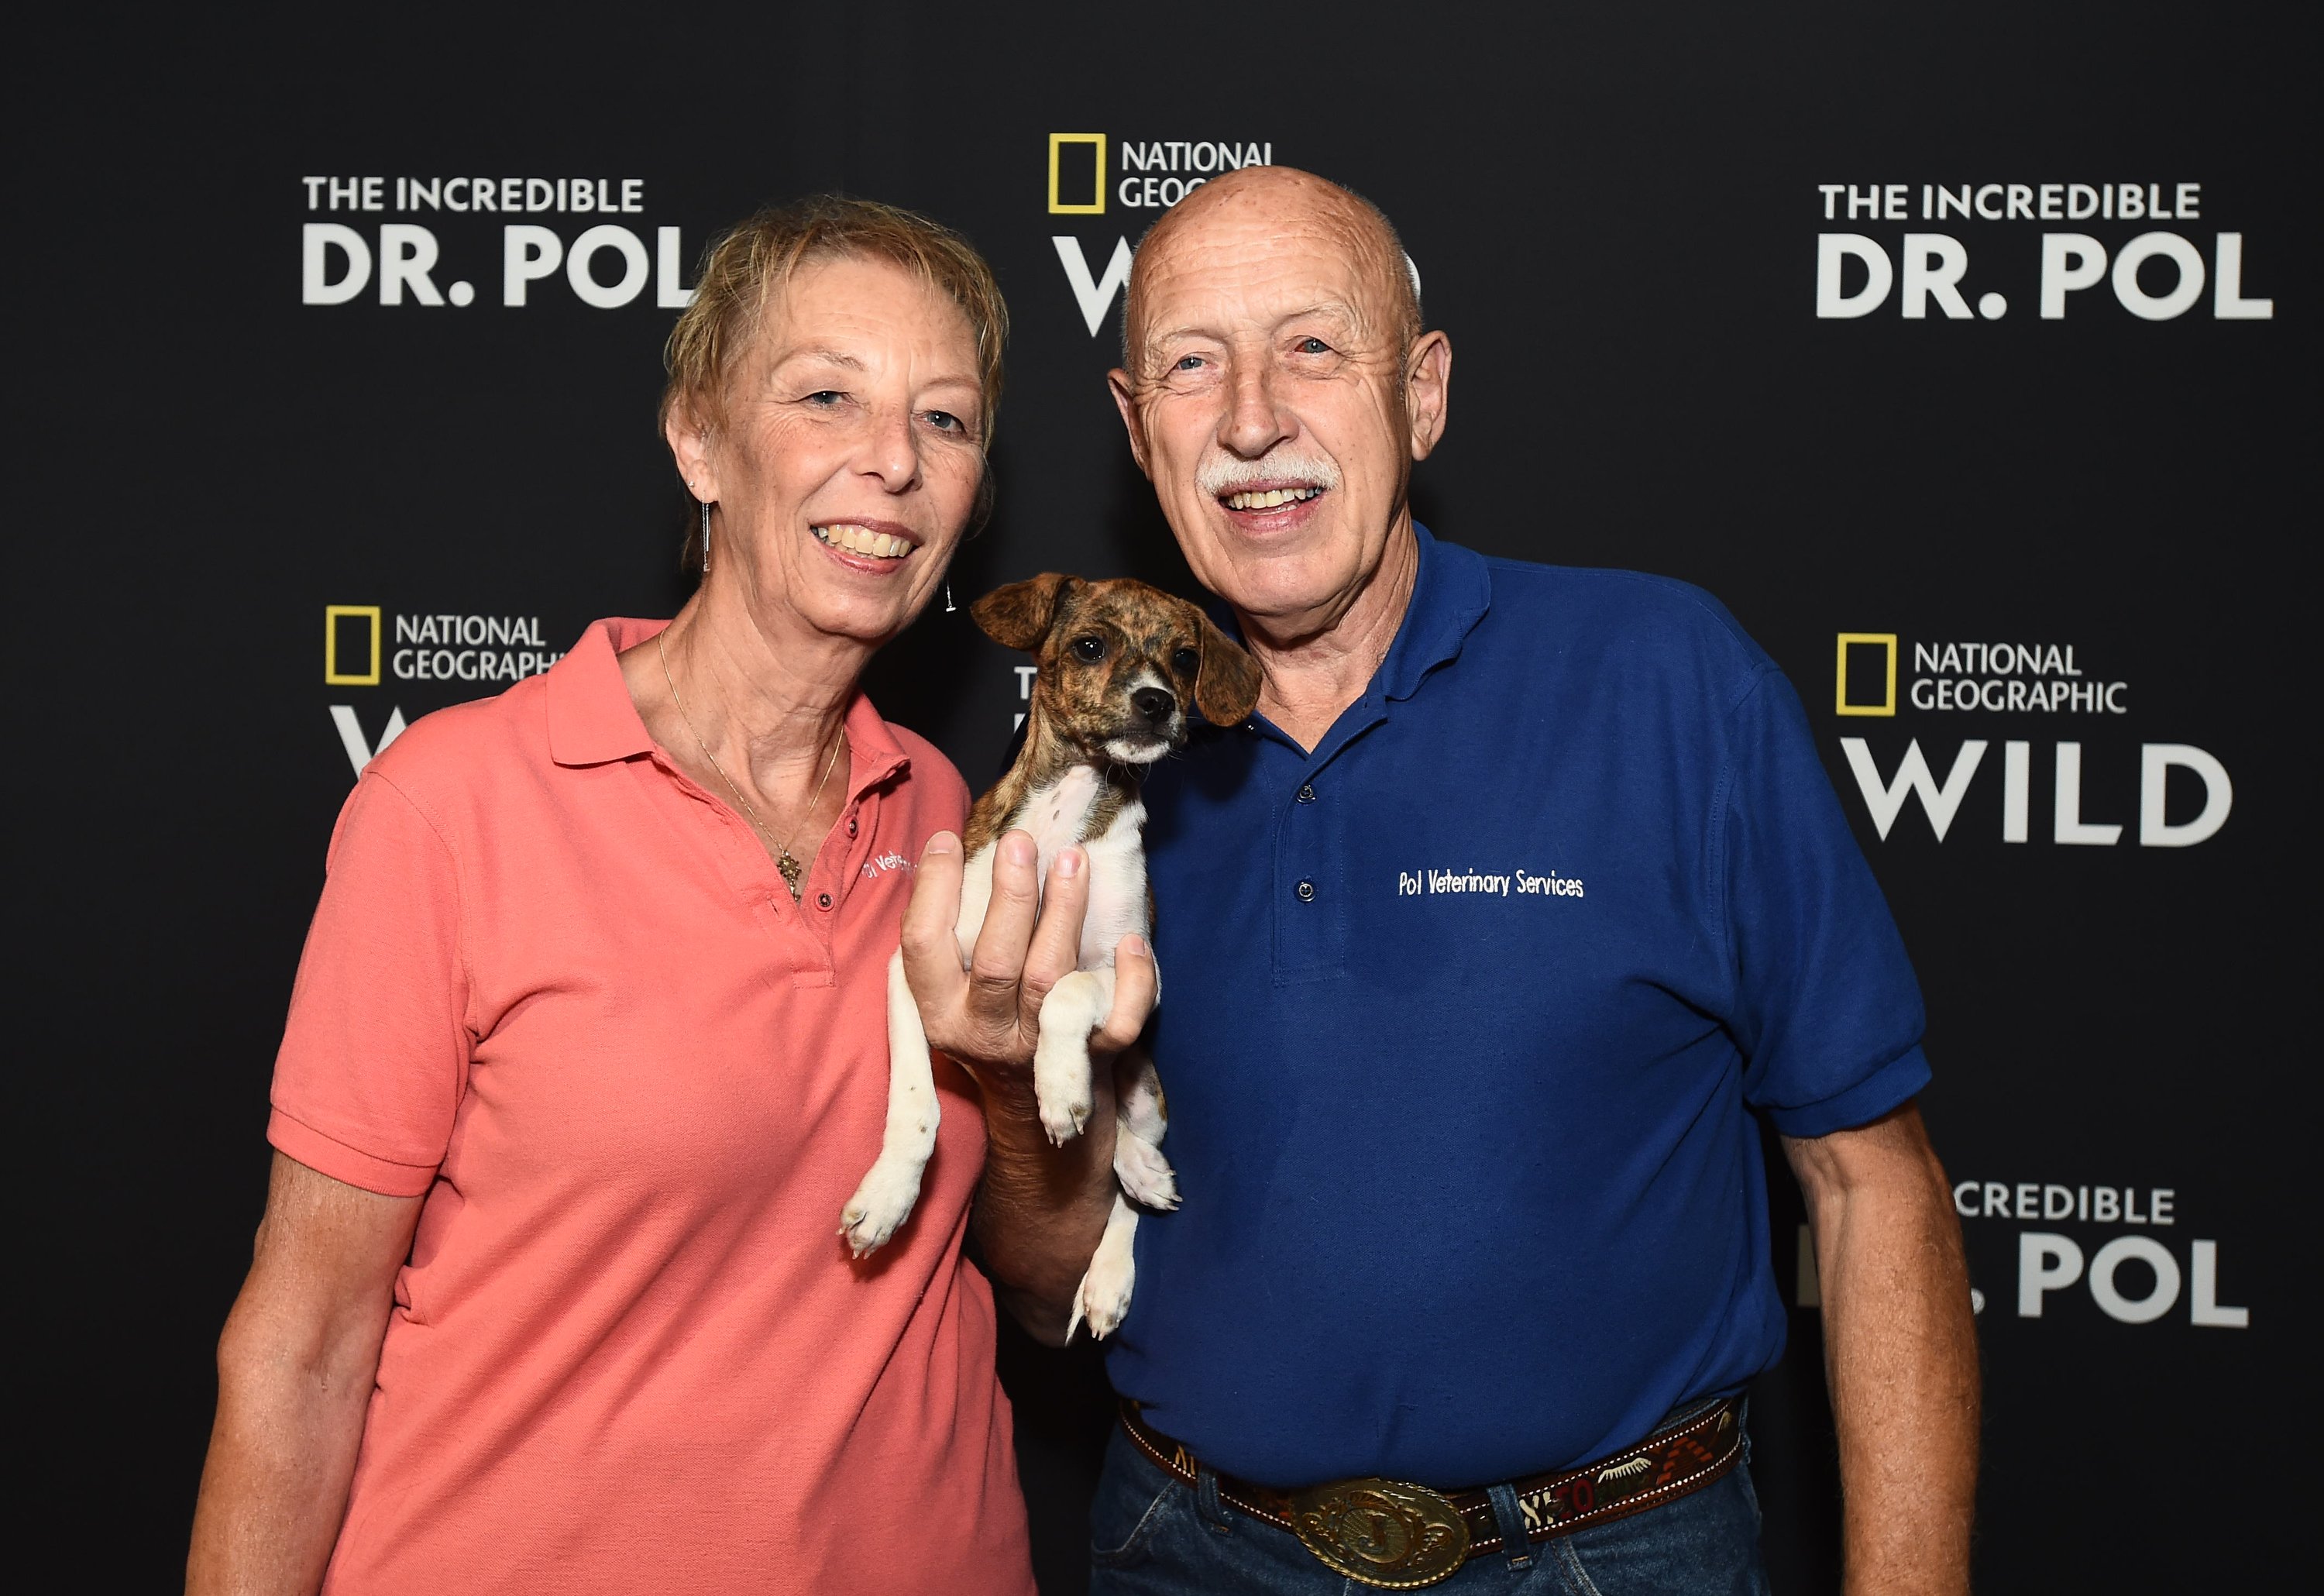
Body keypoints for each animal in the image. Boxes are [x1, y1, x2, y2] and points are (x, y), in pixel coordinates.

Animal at [846, 573, 1264, 1338]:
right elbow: (916, 1098)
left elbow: (1069, 991)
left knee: (1129, 1162)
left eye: (1186, 659)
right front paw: (891, 1192)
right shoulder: (914, 965)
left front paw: (1062, 1082)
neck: (1065, 811)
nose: (1157, 702)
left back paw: (1116, 1251)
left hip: (1147, 1085)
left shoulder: (1134, 971)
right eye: (1090, 647)